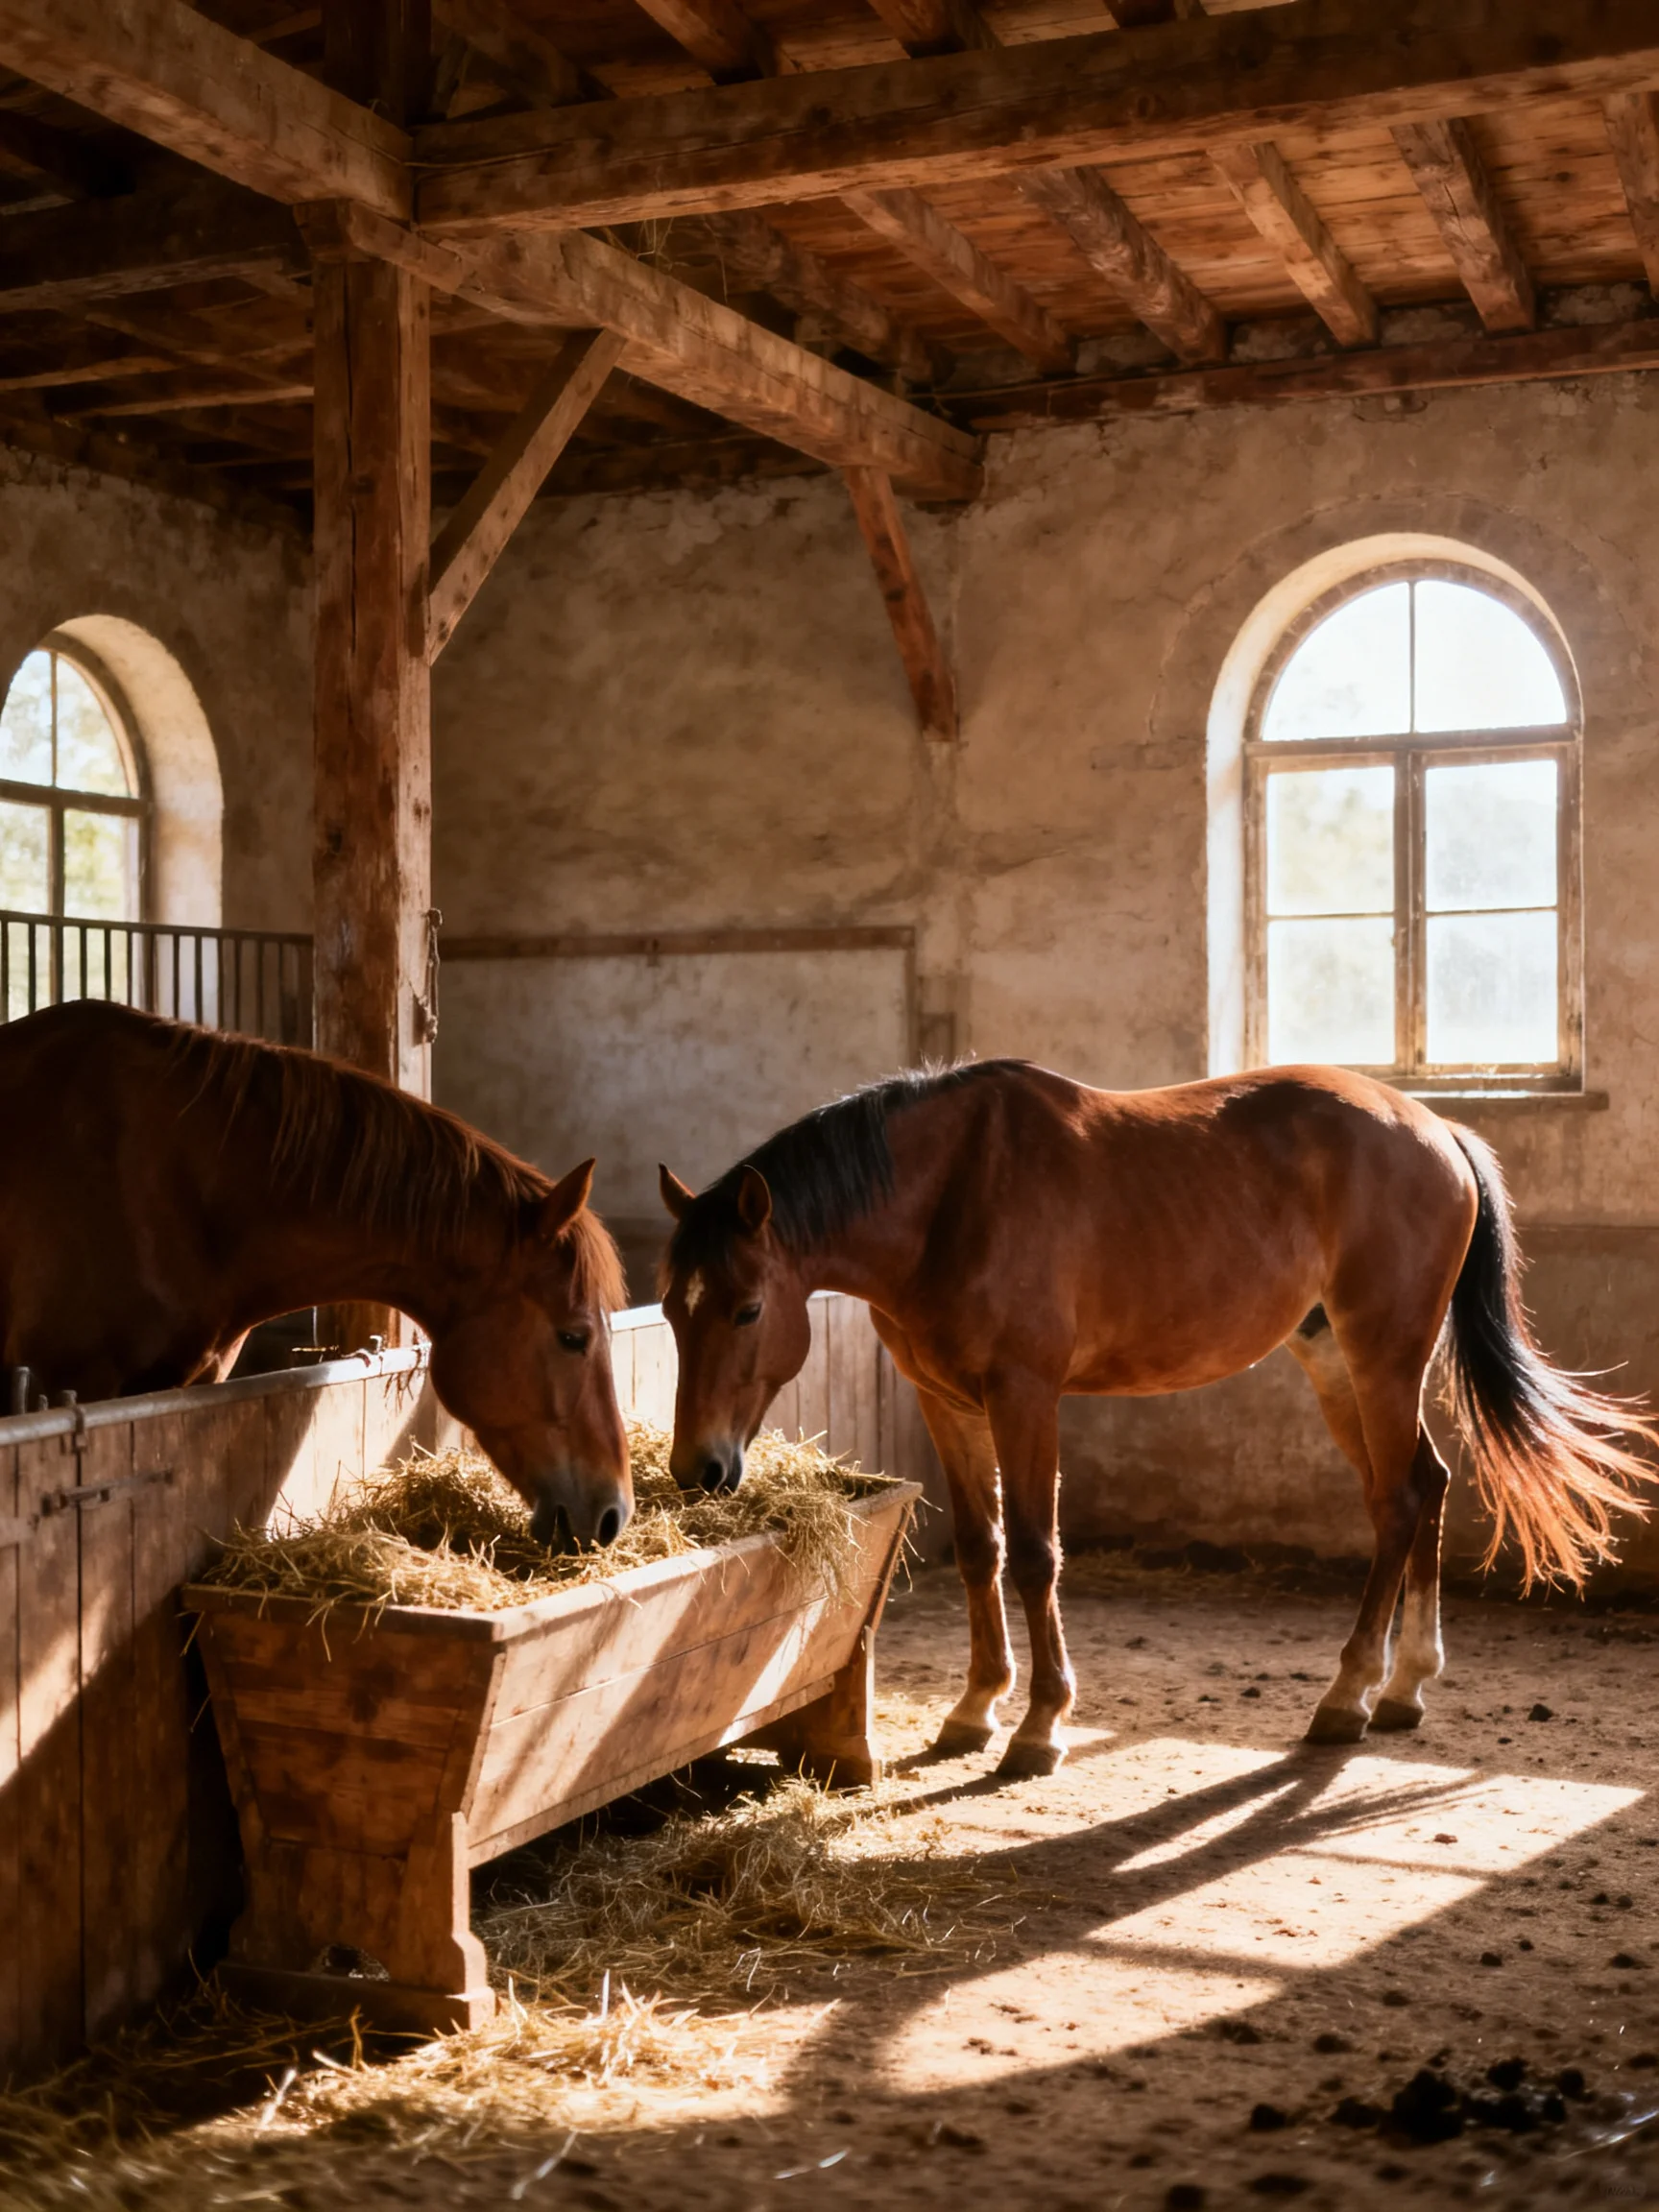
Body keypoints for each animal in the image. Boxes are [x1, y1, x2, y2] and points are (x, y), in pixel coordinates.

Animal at [656, 1058, 1657, 1772]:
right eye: (669, 1306)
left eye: (747, 1309)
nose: (699, 1468)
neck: (951, 1195)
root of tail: (1436, 1128)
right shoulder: (946, 1402)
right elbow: (982, 1550)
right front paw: (975, 1709)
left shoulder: (1025, 1395)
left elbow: (1035, 1552)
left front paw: (1041, 1727)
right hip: (1338, 1362)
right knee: (1423, 1485)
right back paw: (1405, 1687)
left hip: (1383, 1358)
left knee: (1401, 1501)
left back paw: (1349, 1695)